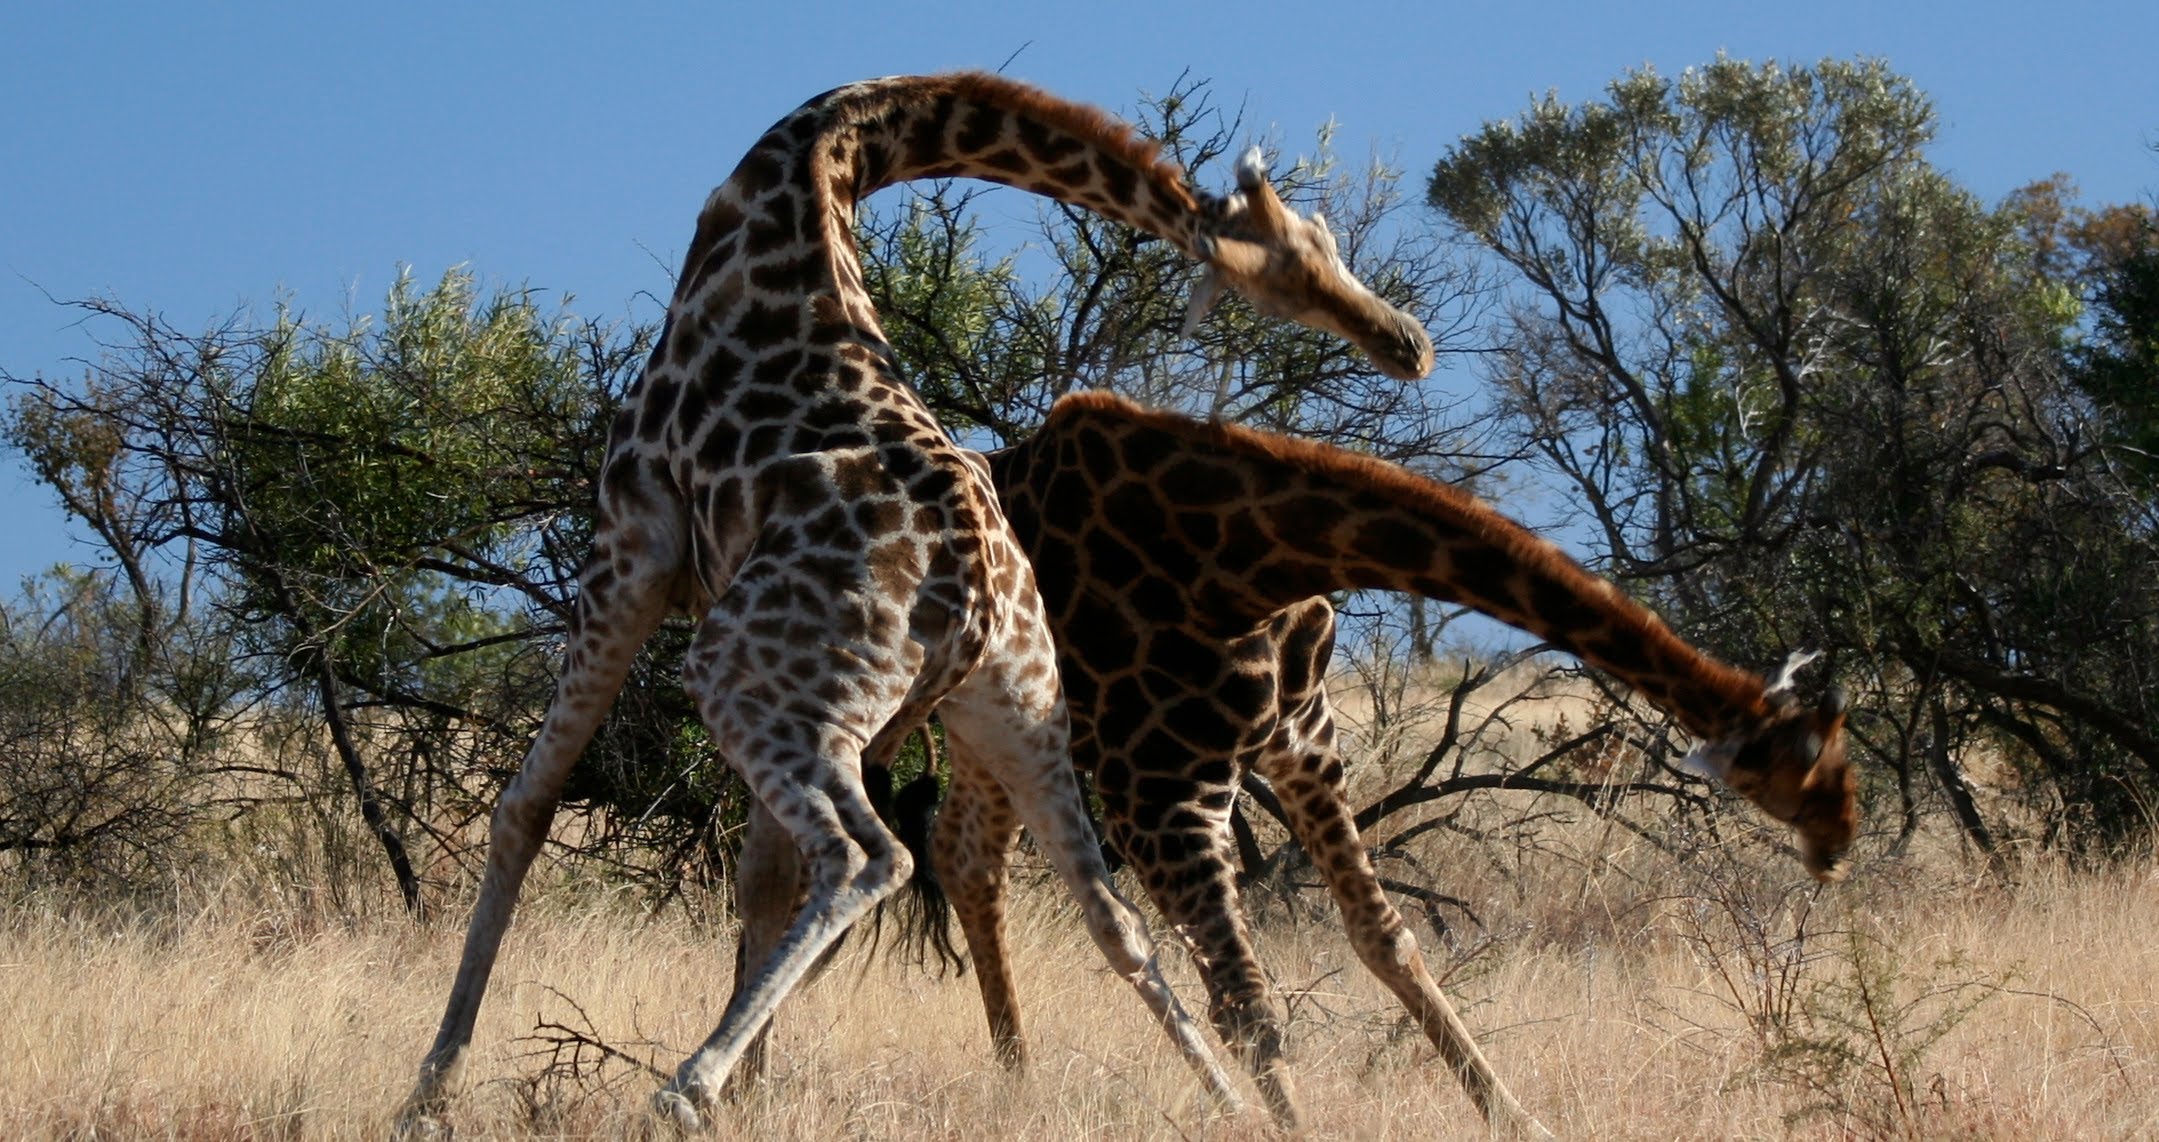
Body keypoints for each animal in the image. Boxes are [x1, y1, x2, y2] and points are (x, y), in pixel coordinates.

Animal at [742, 386, 1856, 1122]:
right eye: (1810, 760)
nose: (1839, 839)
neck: (1243, 556)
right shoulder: (1160, 784)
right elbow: (1248, 1006)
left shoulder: (1302, 741)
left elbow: (1386, 938)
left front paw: (1514, 1115)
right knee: (801, 861)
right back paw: (751, 1078)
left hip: (993, 731)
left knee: (963, 856)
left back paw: (1015, 1081)